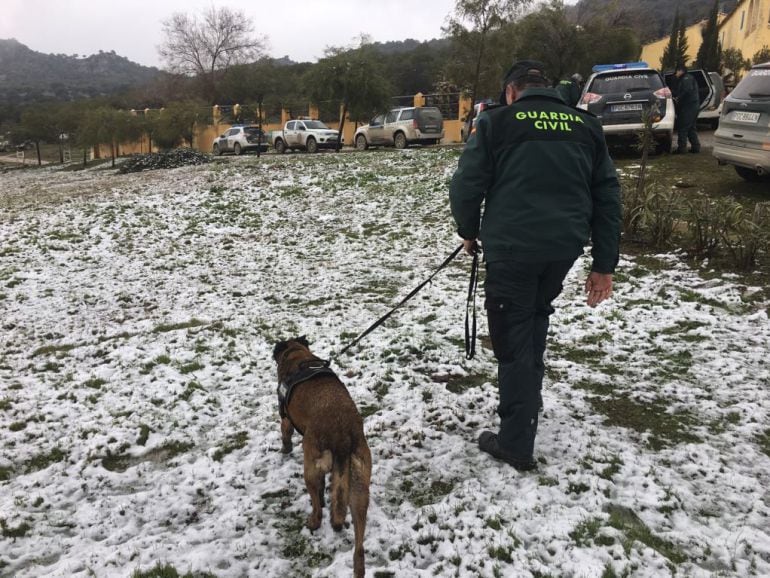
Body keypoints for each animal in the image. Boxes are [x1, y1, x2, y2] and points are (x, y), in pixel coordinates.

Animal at [272, 336, 372, 572]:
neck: (298, 355)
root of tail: (343, 435)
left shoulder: (285, 419)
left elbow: (285, 432)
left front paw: (285, 448)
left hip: (310, 467)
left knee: (317, 506)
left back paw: (313, 522)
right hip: (359, 484)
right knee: (359, 548)